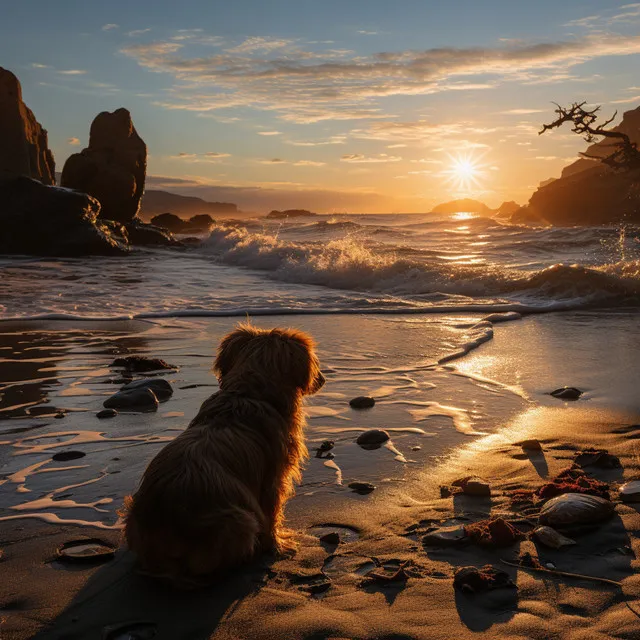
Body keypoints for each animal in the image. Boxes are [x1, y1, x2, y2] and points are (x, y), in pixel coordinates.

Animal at [123, 322, 324, 588]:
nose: (323, 379)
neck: (247, 394)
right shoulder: (273, 480)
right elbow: (273, 513)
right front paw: (277, 544)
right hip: (241, 521)